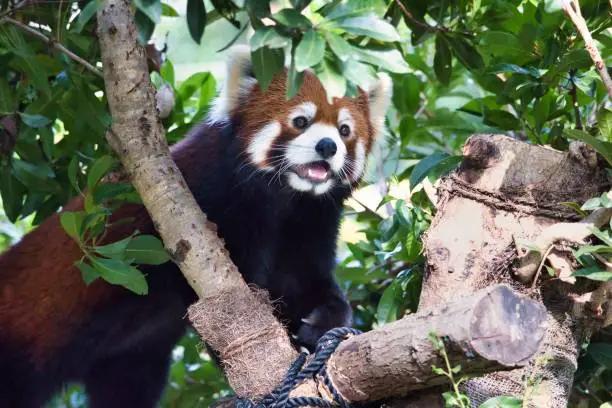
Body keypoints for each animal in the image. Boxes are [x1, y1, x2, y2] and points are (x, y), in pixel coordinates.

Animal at [0, 45, 392, 408]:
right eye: (300, 121)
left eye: (345, 130)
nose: (327, 146)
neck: (286, 200)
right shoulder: (212, 202)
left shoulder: (310, 224)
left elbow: (311, 282)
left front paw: (322, 324)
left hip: (124, 358)